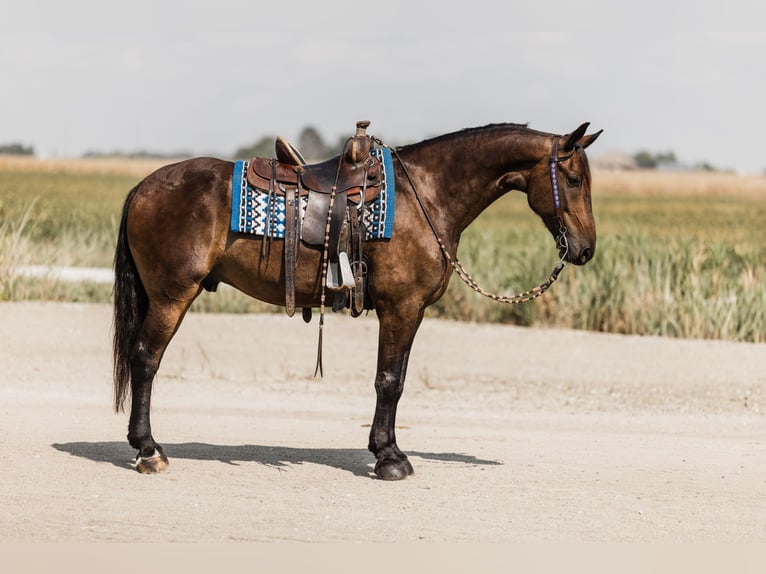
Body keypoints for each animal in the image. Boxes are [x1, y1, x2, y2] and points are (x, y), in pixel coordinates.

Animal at [112, 121, 602, 480]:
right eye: (574, 179)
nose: (585, 250)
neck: (426, 195)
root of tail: (142, 187)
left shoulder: (408, 312)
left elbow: (395, 379)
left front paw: (385, 449)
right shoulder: (402, 308)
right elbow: (390, 381)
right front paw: (389, 458)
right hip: (172, 296)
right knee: (145, 359)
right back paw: (148, 450)